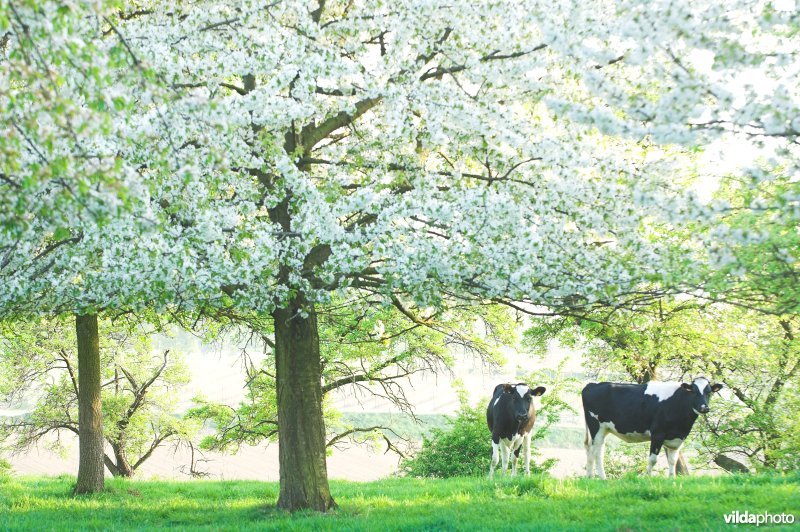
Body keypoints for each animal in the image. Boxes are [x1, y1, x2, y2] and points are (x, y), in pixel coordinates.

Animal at [580, 376, 724, 480]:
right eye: (694, 391)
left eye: (709, 392)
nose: (704, 407)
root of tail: (592, 385)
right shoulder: (657, 434)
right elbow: (653, 459)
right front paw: (647, 478)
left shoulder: (677, 438)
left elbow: (673, 460)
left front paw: (672, 479)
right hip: (596, 427)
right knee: (597, 452)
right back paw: (602, 478)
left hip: (602, 430)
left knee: (592, 449)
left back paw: (590, 477)